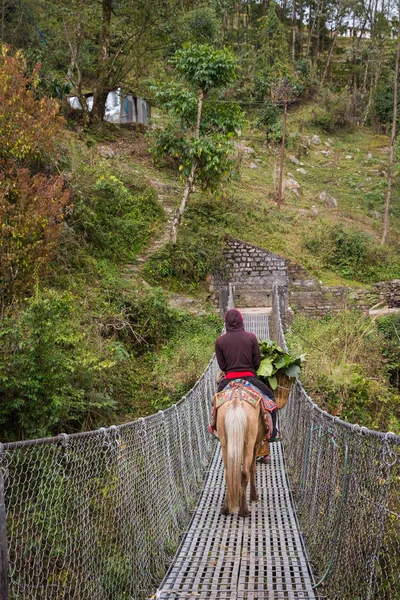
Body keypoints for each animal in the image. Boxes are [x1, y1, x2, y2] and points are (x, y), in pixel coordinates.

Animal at [216, 386, 266, 516]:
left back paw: (226, 507)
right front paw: (254, 496)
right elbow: (252, 468)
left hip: (225, 442)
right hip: (249, 443)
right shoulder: (256, 444)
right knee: (244, 472)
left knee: (229, 472)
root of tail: (236, 402)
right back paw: (244, 509)